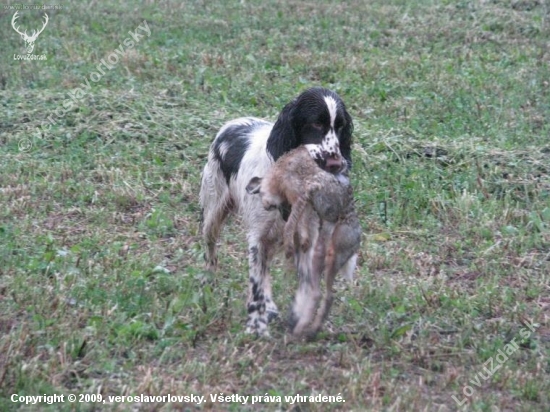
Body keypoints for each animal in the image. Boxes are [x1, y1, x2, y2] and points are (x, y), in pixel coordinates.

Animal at [201, 86, 356, 334]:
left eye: (340, 126)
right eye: (316, 124)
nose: (336, 164)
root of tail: (232, 123)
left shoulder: (305, 237)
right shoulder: (258, 236)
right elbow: (256, 281)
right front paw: (256, 324)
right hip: (214, 210)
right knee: (210, 247)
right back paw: (209, 282)